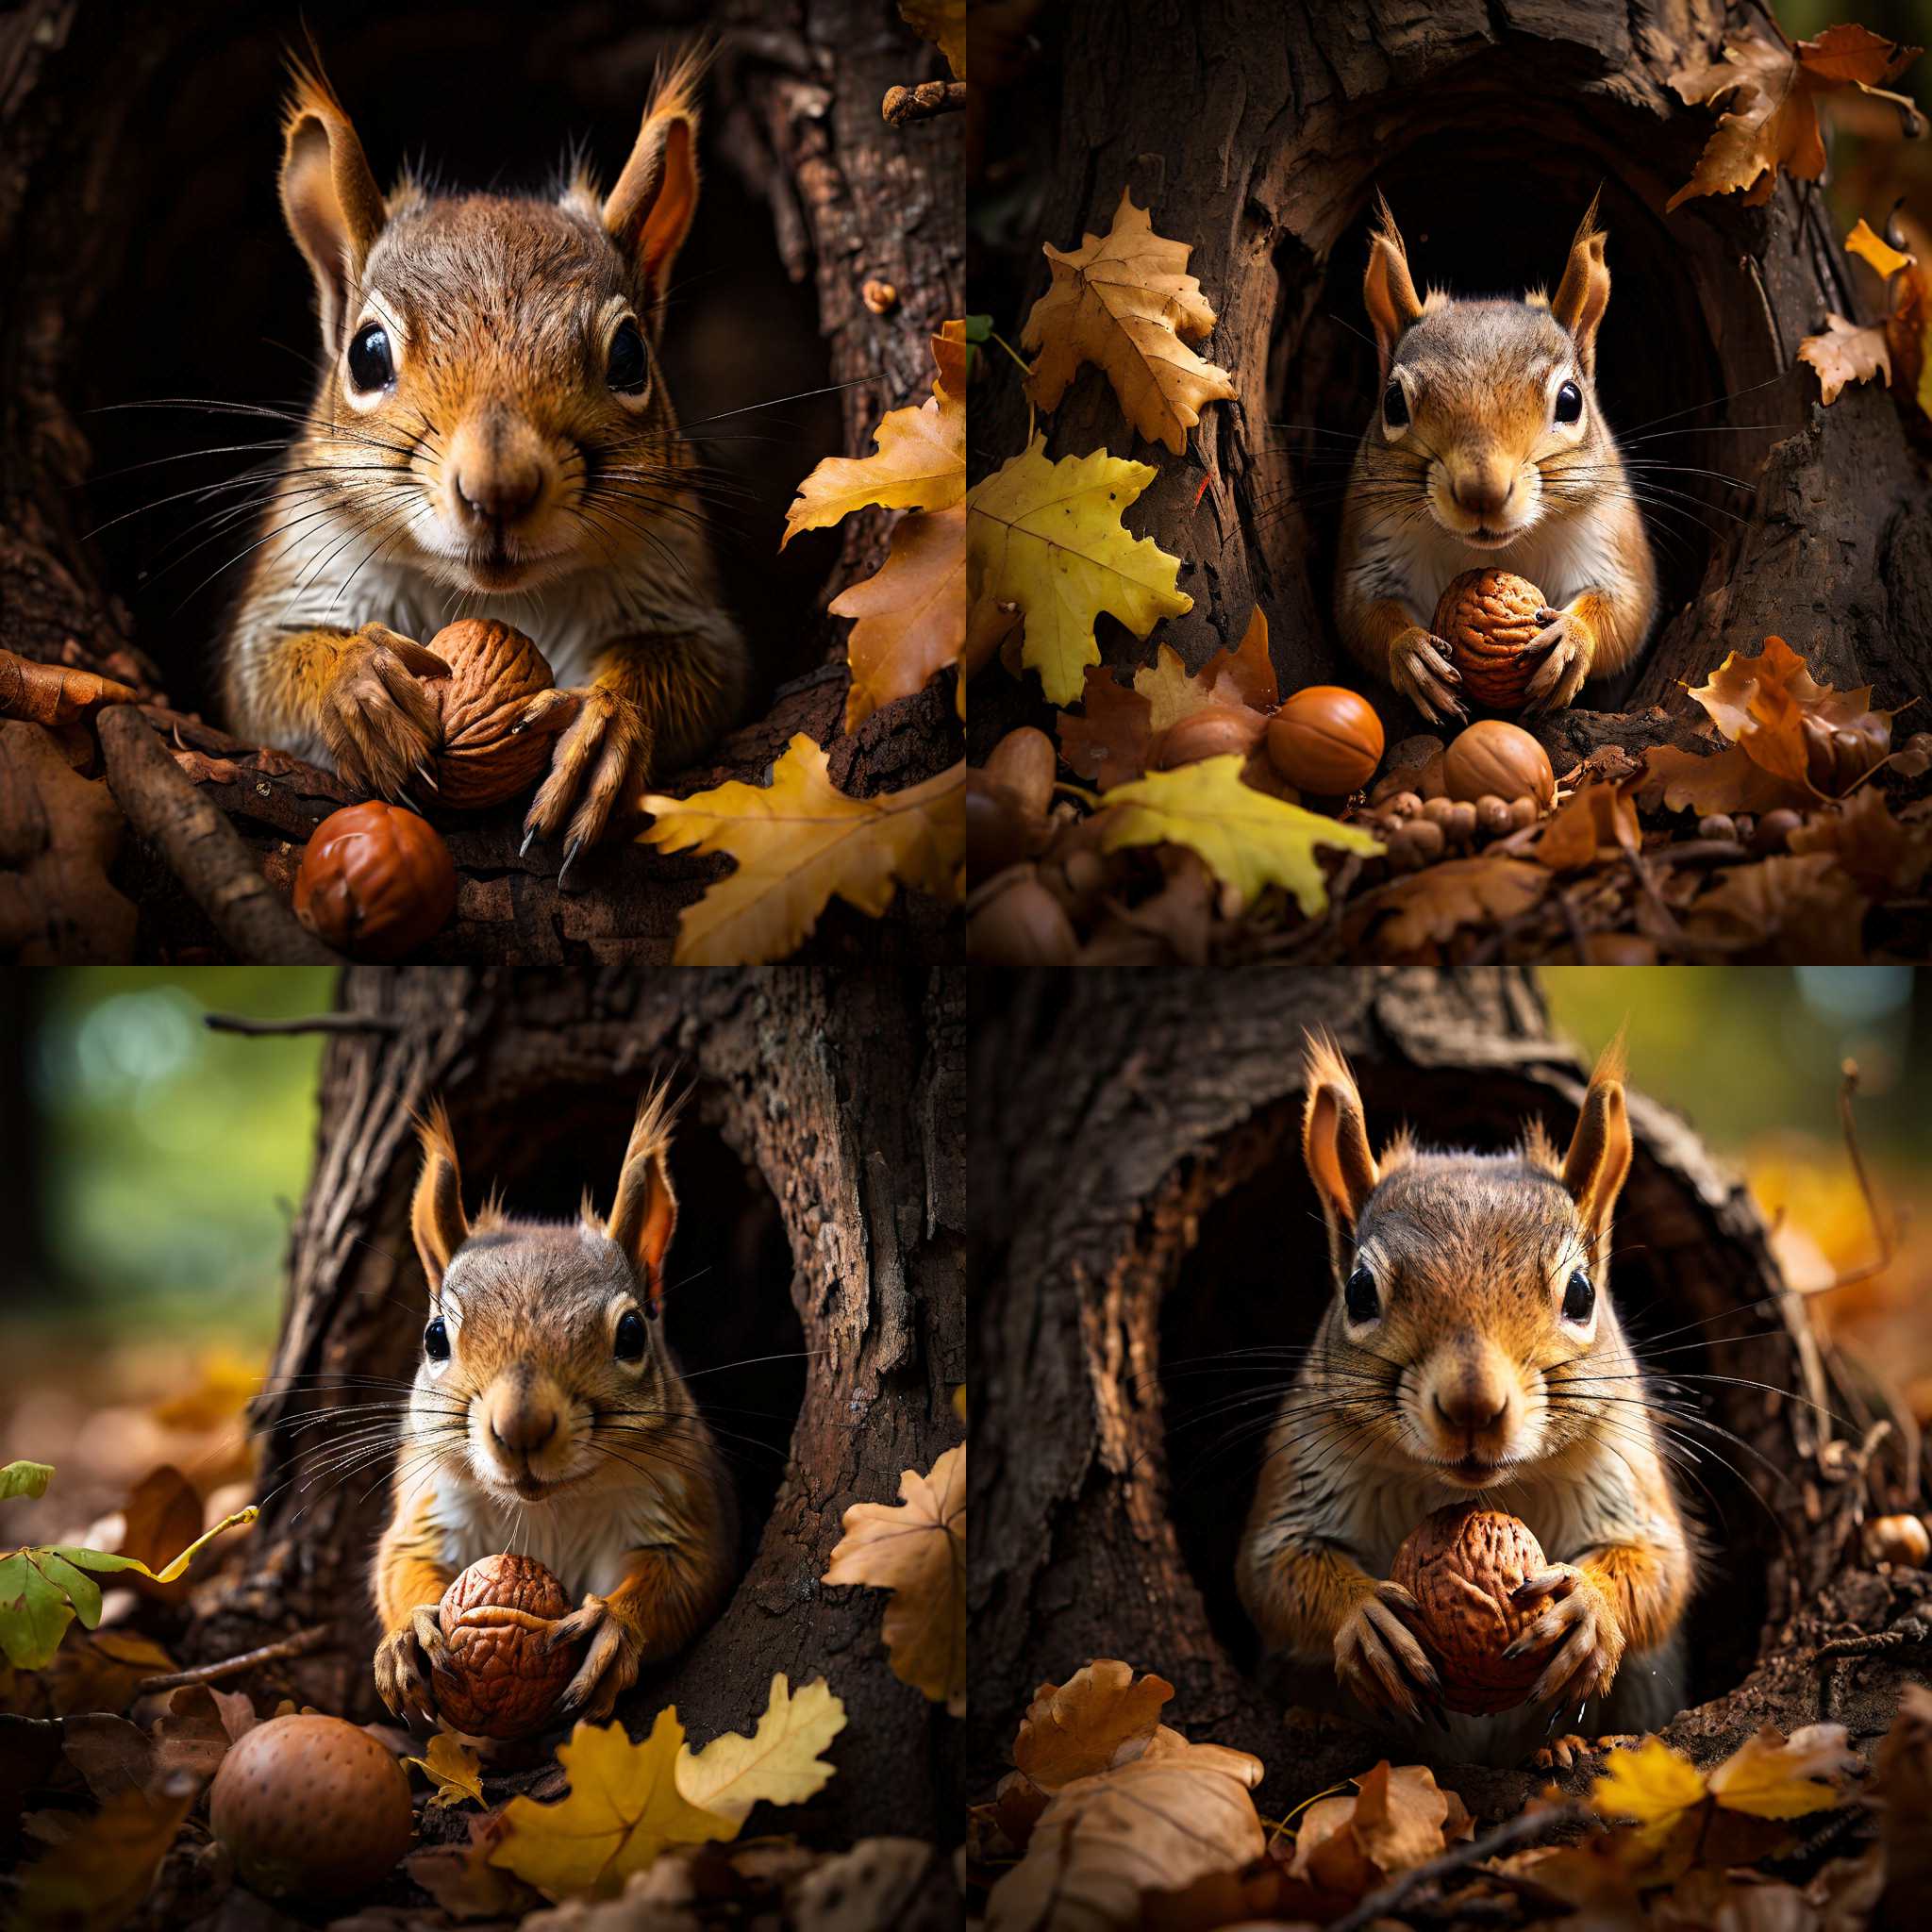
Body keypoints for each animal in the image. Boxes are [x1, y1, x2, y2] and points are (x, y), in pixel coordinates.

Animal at [219, 51, 745, 884]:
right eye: (366, 354)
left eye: (631, 356)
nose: (499, 488)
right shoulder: (303, 566)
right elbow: (263, 673)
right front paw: (357, 684)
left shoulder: (677, 585)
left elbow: (698, 670)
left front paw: (602, 728)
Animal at [373, 1090, 734, 1739]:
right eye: (435, 1336)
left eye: (633, 1332)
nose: (521, 1427)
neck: (550, 1505)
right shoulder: (432, 1504)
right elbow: (400, 1562)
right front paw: (411, 1628)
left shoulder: (681, 1509)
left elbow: (688, 1578)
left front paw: (613, 1626)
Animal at [1236, 1035, 1692, 1761]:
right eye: (1359, 1291)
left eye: (1582, 1294)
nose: (1474, 1406)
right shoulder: (1303, 1467)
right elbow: (1272, 1572)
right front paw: (1365, 1614)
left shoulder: (1625, 1467)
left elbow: (1660, 1569)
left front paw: (1588, 1606)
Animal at [1329, 195, 1661, 726]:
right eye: (1394, 403)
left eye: (1570, 401)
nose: (1481, 493)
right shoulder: (1373, 545)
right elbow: (1362, 616)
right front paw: (1411, 650)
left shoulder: (1611, 539)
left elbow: (1625, 612)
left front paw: (1572, 638)